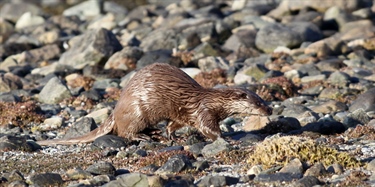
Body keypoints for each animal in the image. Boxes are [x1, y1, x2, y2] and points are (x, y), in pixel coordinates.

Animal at [37, 63, 274, 146]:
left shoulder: (182, 115)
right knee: (124, 132)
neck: (212, 100)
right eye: (258, 103)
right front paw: (227, 137)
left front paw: (172, 136)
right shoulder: (204, 111)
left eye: (264, 100)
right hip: (138, 112)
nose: (270, 109)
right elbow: (208, 128)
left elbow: (173, 125)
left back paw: (154, 133)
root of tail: (116, 109)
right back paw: (143, 136)